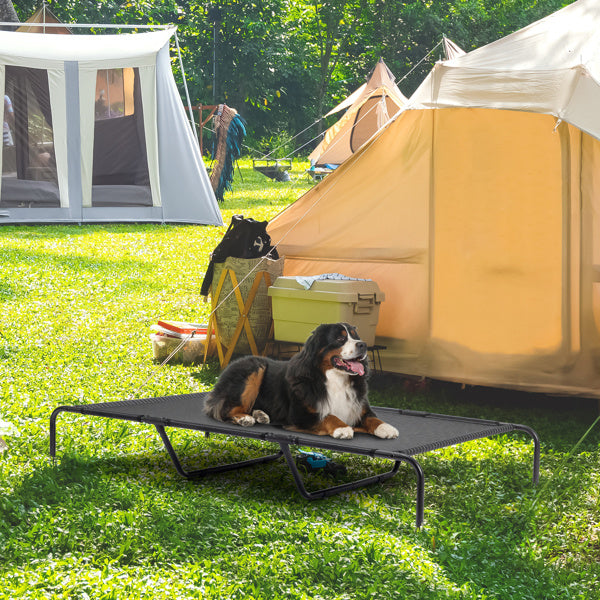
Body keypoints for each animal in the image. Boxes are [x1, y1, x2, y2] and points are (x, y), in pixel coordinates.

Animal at [205, 324, 398, 440]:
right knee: (225, 409)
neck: (335, 379)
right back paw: (245, 418)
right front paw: (342, 428)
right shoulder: (300, 414)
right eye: (340, 339)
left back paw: (261, 415)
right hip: (254, 369)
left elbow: (373, 418)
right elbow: (328, 416)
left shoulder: (359, 409)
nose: (363, 345)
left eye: (355, 336)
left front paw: (386, 428)